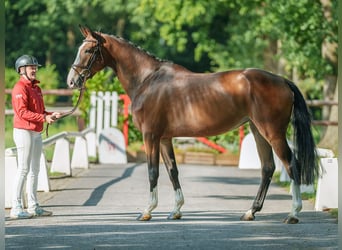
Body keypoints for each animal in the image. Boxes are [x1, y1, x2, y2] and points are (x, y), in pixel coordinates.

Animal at [67, 25, 320, 224]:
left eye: (88, 50)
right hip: (258, 131)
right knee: (267, 168)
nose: (72, 81)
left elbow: (152, 172)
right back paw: (251, 212)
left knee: (291, 164)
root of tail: (282, 81)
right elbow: (172, 171)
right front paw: (176, 211)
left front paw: (147, 211)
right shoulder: (164, 138)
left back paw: (293, 213)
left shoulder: (151, 136)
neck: (148, 80)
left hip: (272, 132)